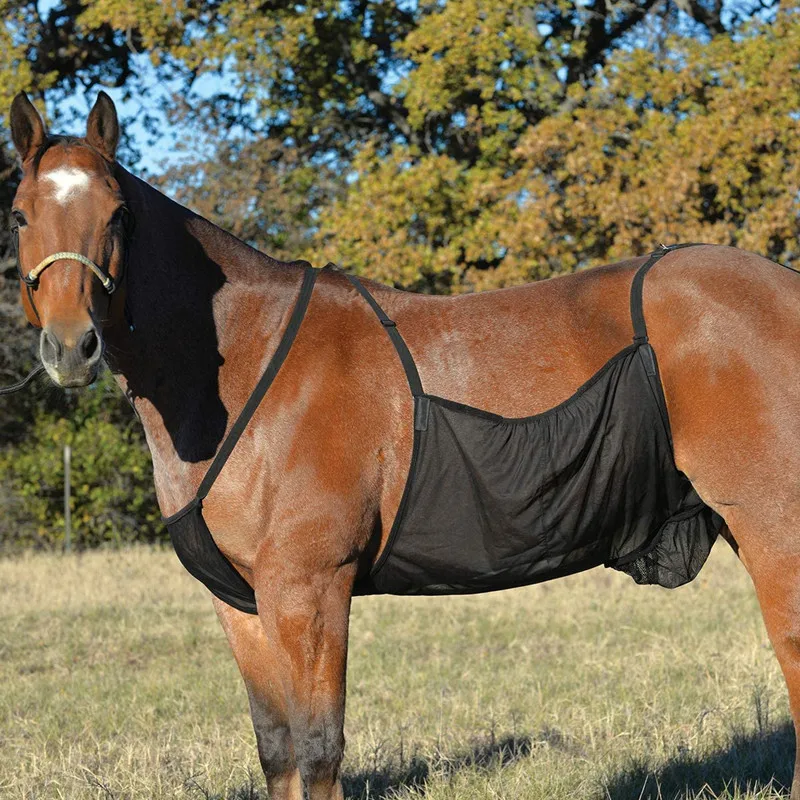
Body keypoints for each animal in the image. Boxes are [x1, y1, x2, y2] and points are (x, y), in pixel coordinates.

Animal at [8, 90, 800, 799]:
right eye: (19, 214)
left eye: (118, 214)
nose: (71, 347)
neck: (245, 366)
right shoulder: (242, 601)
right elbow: (278, 752)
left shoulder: (310, 588)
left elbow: (320, 750)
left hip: (773, 529)